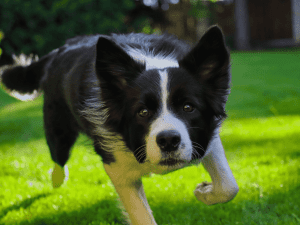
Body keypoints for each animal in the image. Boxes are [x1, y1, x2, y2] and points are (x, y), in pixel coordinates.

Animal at [0, 25, 239, 223]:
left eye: (188, 107)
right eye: (142, 112)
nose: (168, 141)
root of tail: (60, 50)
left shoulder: (206, 136)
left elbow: (229, 186)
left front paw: (204, 191)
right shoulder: (116, 166)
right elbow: (141, 215)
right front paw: (203, 190)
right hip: (59, 129)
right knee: (59, 158)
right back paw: (57, 179)